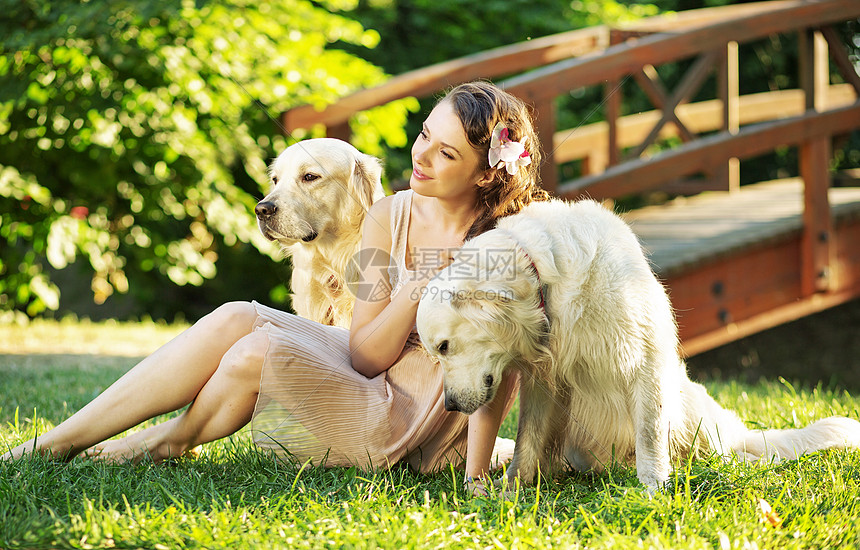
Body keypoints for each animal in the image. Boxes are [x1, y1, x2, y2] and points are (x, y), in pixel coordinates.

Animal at [416, 199, 860, 492]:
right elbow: (529, 438)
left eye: (443, 347)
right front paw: (511, 491)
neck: (545, 280)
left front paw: (653, 491)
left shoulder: (644, 363)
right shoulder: (545, 381)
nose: (450, 406)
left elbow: (649, 435)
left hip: (694, 414)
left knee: (729, 451)